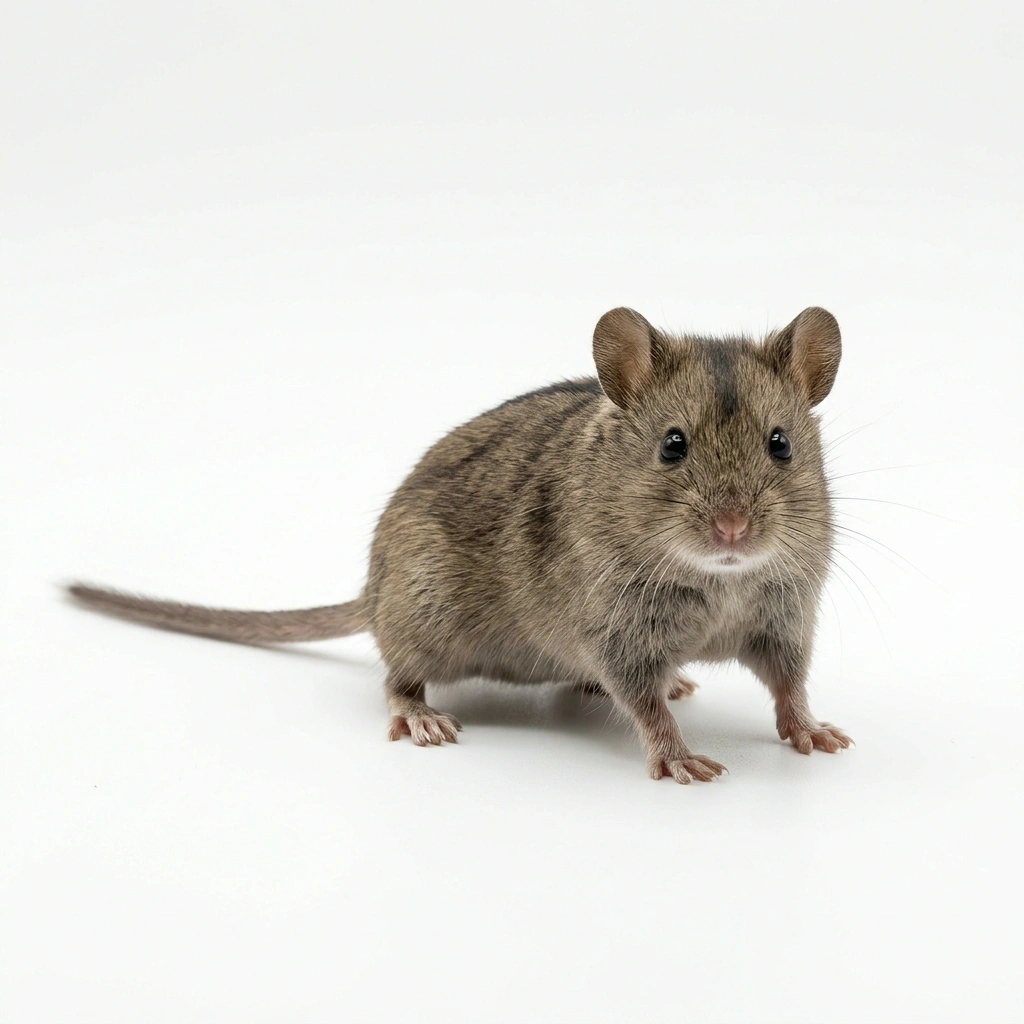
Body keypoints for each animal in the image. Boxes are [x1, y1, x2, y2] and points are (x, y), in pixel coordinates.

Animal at [69, 306, 852, 784]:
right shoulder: (618, 632)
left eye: (780, 444)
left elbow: (788, 684)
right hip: (425, 611)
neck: (722, 577)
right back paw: (421, 717)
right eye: (672, 445)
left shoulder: (785, 618)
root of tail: (370, 592)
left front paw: (817, 735)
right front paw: (683, 761)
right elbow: (644, 703)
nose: (733, 530)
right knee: (395, 677)